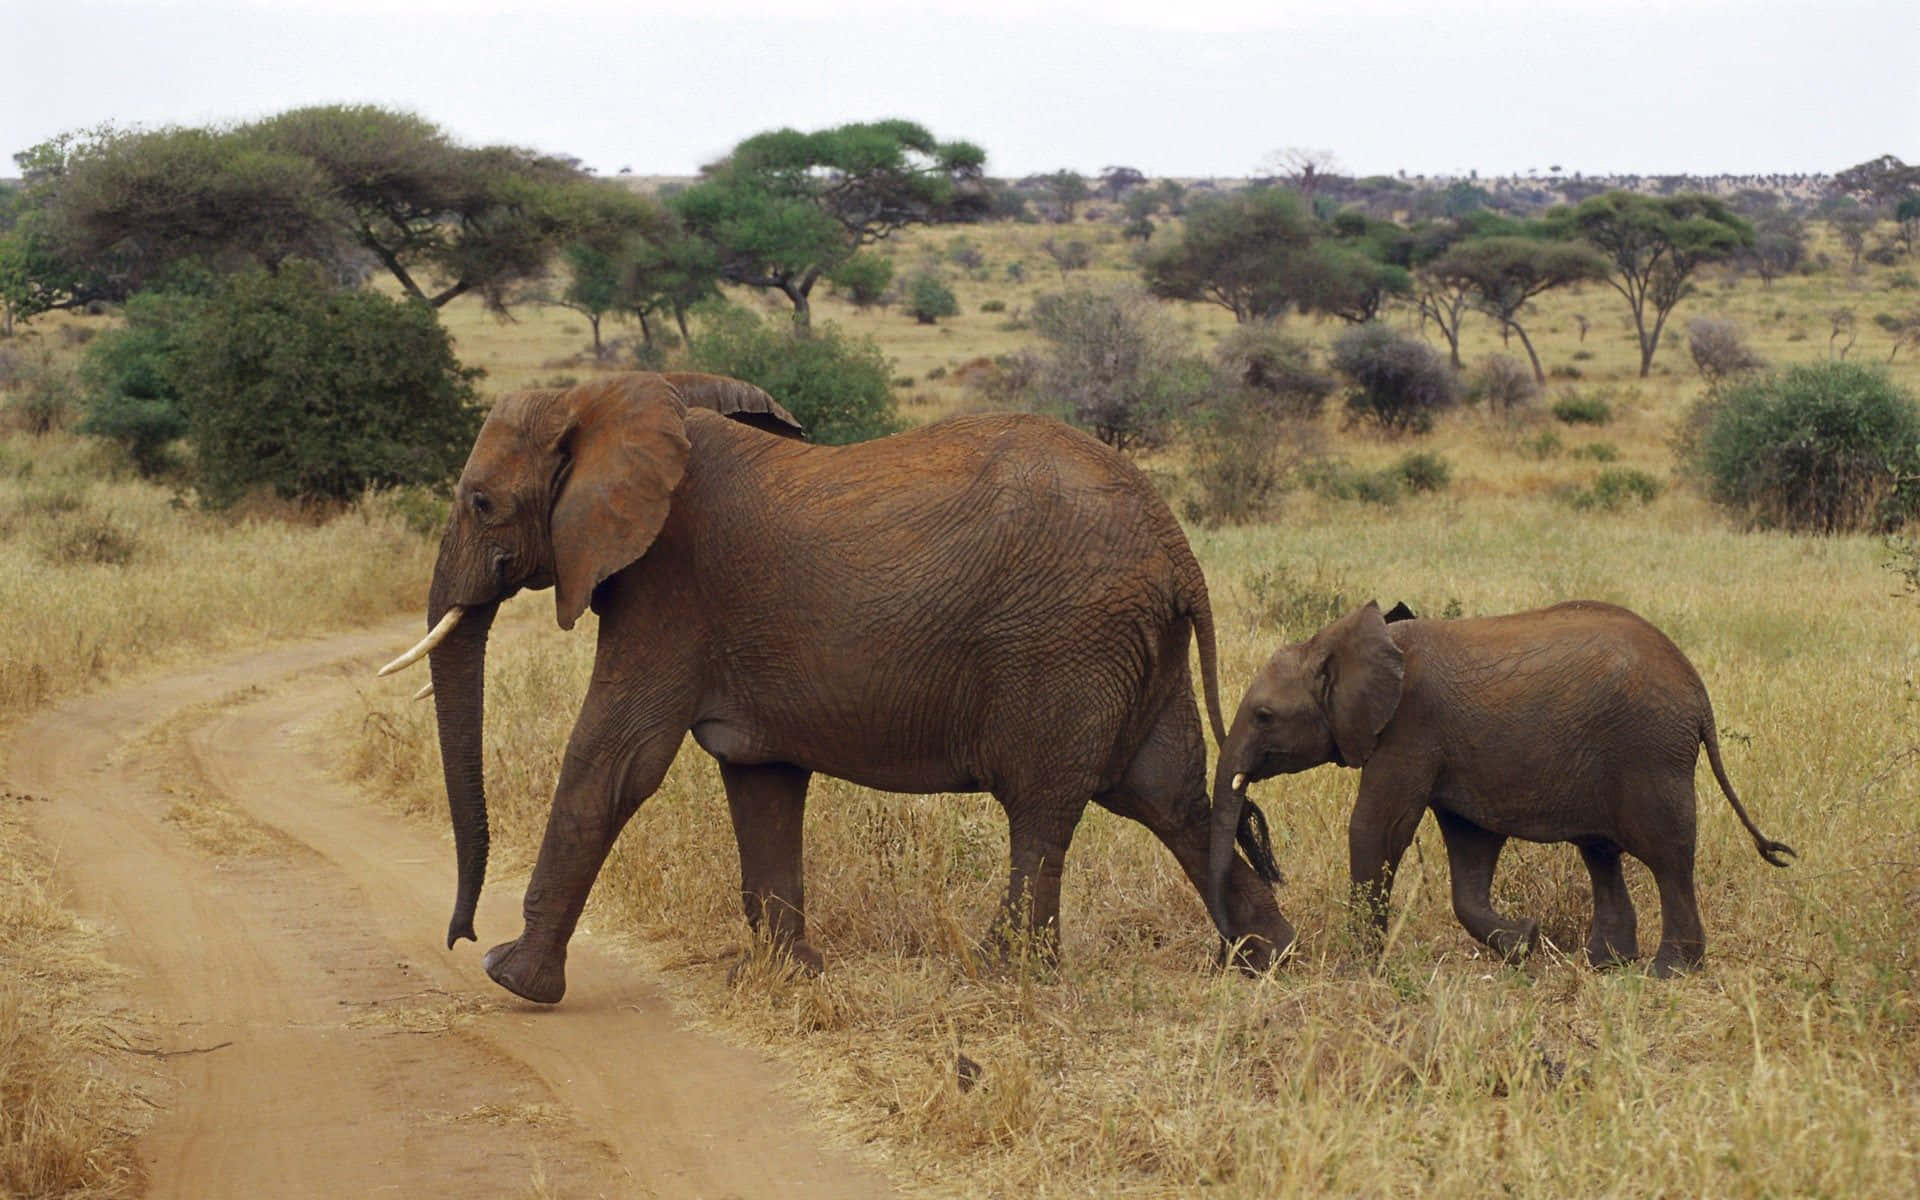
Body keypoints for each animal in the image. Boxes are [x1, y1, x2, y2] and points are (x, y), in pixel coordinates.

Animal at [378, 371, 1293, 1003]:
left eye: (481, 502)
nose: (459, 935)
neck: (612, 394)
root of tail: (1175, 544)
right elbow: (761, 782)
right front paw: (786, 978)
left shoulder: (668, 588)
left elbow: (614, 763)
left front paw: (511, 979)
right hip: (1135, 647)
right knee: (1168, 796)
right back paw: (1269, 959)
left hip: (1064, 642)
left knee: (1044, 808)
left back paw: (1002, 977)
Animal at [1206, 600, 1795, 977]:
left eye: (1264, 716)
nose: (1241, 958)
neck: (1338, 641)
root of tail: (1698, 694)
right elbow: (1471, 849)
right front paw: (1525, 943)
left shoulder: (1409, 728)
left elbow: (1379, 828)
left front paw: (1358, 970)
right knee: (1601, 852)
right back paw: (1605, 964)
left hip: (1651, 752)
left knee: (1667, 856)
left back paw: (1669, 972)